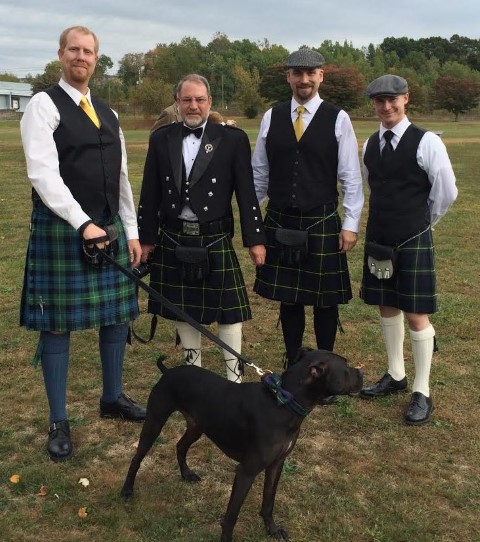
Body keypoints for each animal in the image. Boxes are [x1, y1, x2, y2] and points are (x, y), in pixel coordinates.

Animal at [121, 350, 364, 540]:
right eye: (346, 367)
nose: (362, 373)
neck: (284, 402)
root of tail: (167, 371)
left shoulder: (276, 465)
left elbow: (268, 503)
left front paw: (272, 530)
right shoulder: (247, 471)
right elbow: (231, 515)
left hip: (197, 427)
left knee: (180, 446)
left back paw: (186, 474)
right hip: (155, 422)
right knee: (137, 458)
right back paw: (126, 490)